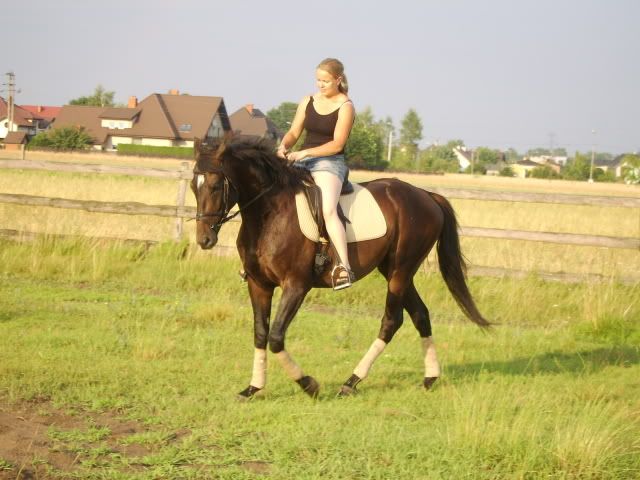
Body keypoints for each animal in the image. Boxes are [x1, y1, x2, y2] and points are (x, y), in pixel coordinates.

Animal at [191, 137, 489, 399]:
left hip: (400, 272)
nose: (204, 240)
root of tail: (427, 195)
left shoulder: (296, 286)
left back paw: (351, 382)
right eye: (195, 186)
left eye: (215, 185)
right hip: (395, 271)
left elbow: (275, 337)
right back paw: (429, 377)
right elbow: (260, 334)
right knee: (420, 315)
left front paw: (309, 385)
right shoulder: (259, 284)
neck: (269, 214)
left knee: (391, 321)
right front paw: (253, 388)